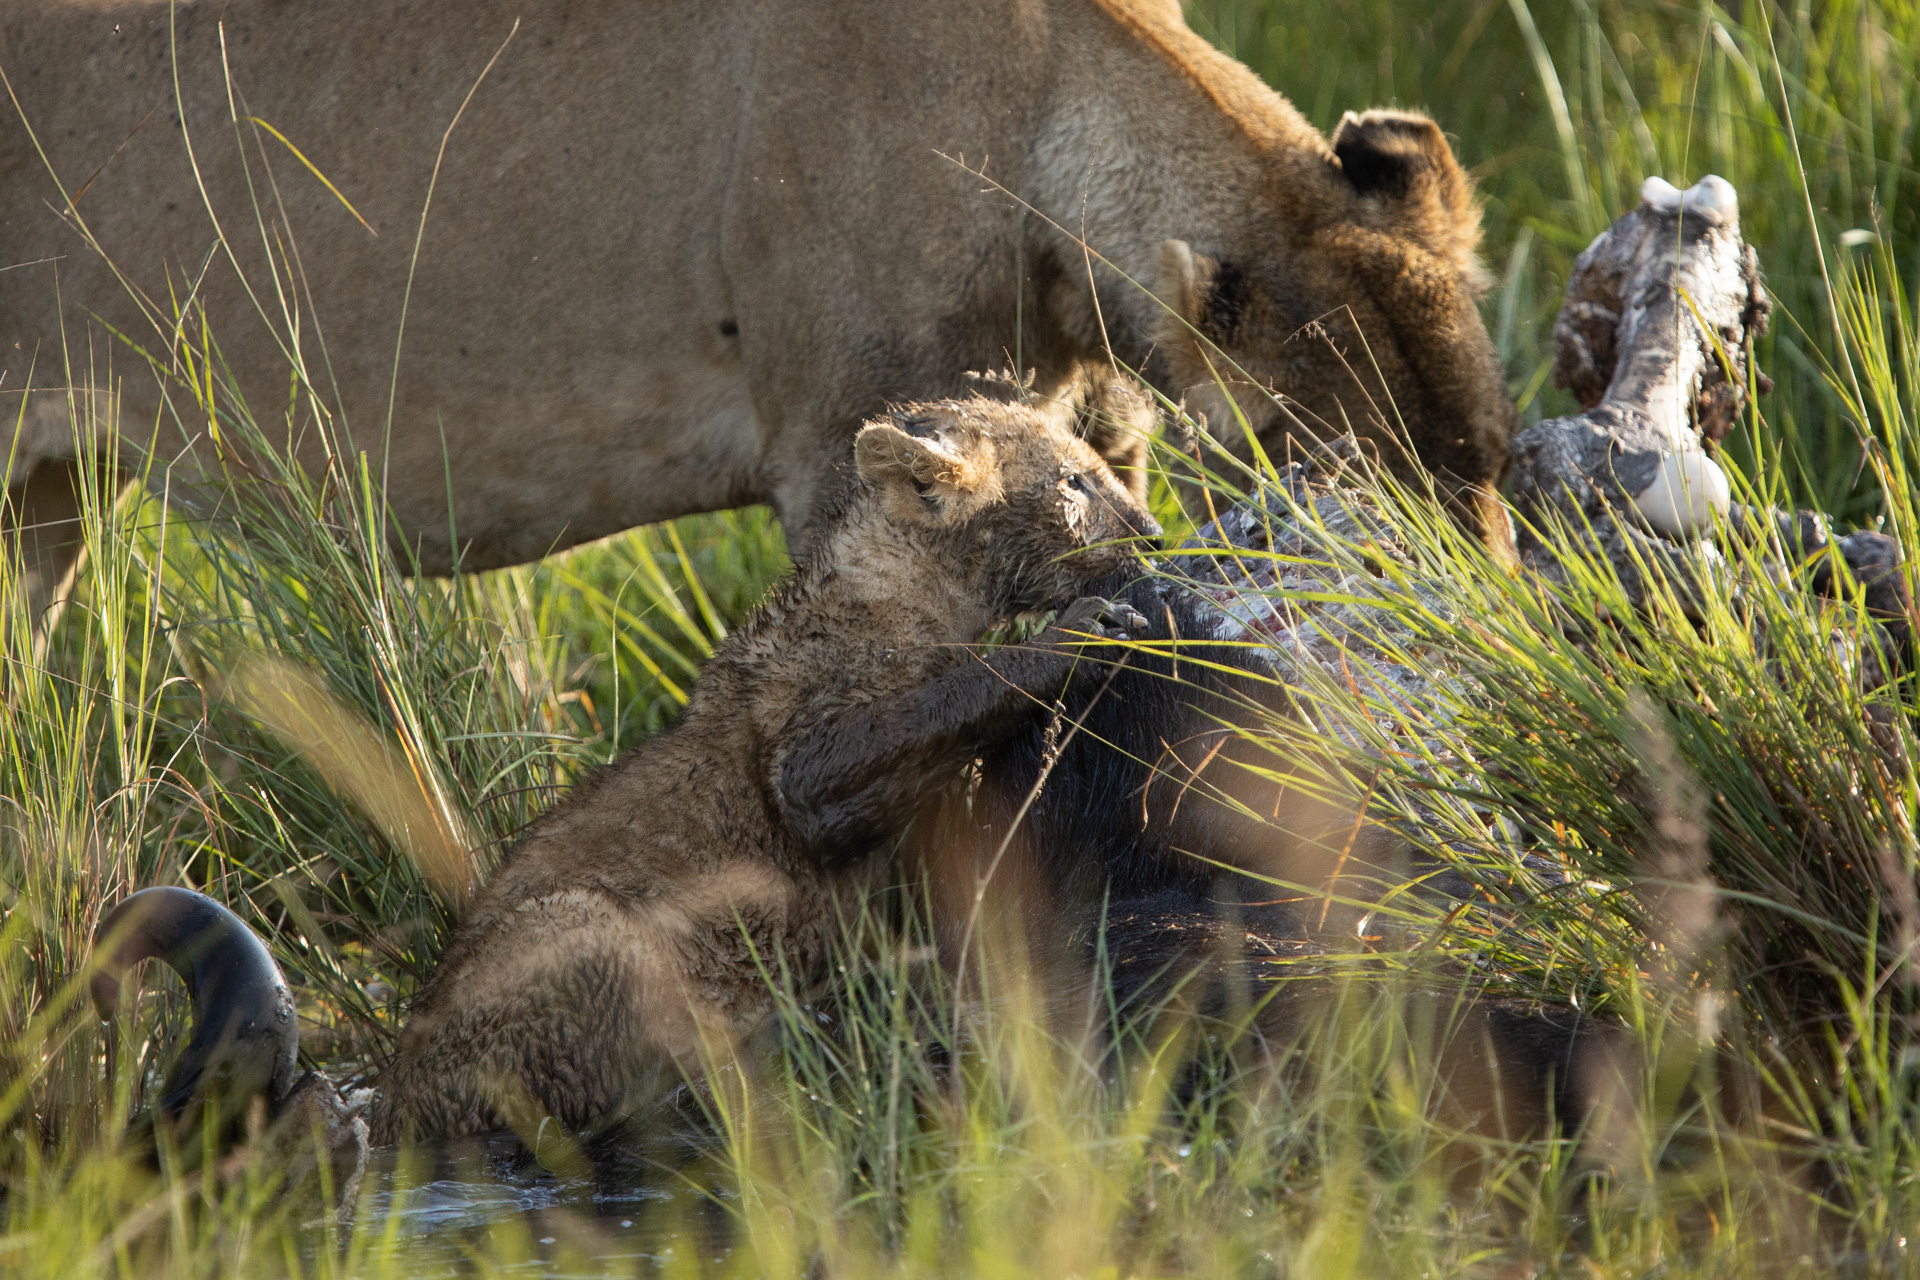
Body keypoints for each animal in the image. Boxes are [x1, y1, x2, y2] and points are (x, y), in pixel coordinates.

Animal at [7, 0, 1520, 621]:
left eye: (1498, 469)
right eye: (1350, 508)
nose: (1484, 640)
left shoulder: (1101, 426)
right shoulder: (843, 448)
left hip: (48, 498)